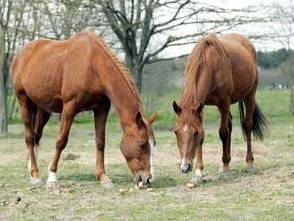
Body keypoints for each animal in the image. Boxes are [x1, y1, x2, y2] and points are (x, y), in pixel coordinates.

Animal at [10, 32, 156, 188]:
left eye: (154, 143)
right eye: (142, 144)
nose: (148, 179)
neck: (92, 64)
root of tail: (19, 55)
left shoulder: (101, 108)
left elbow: (100, 142)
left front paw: (103, 177)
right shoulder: (69, 107)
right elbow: (61, 141)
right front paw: (52, 177)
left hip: (43, 109)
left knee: (36, 136)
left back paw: (32, 170)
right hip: (23, 100)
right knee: (29, 137)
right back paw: (35, 175)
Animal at [172, 33, 266, 183]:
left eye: (194, 133)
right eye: (176, 132)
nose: (185, 167)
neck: (209, 62)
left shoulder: (224, 103)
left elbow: (223, 132)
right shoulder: (200, 107)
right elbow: (206, 135)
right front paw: (199, 172)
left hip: (249, 95)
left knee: (247, 126)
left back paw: (249, 162)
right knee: (230, 125)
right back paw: (226, 163)